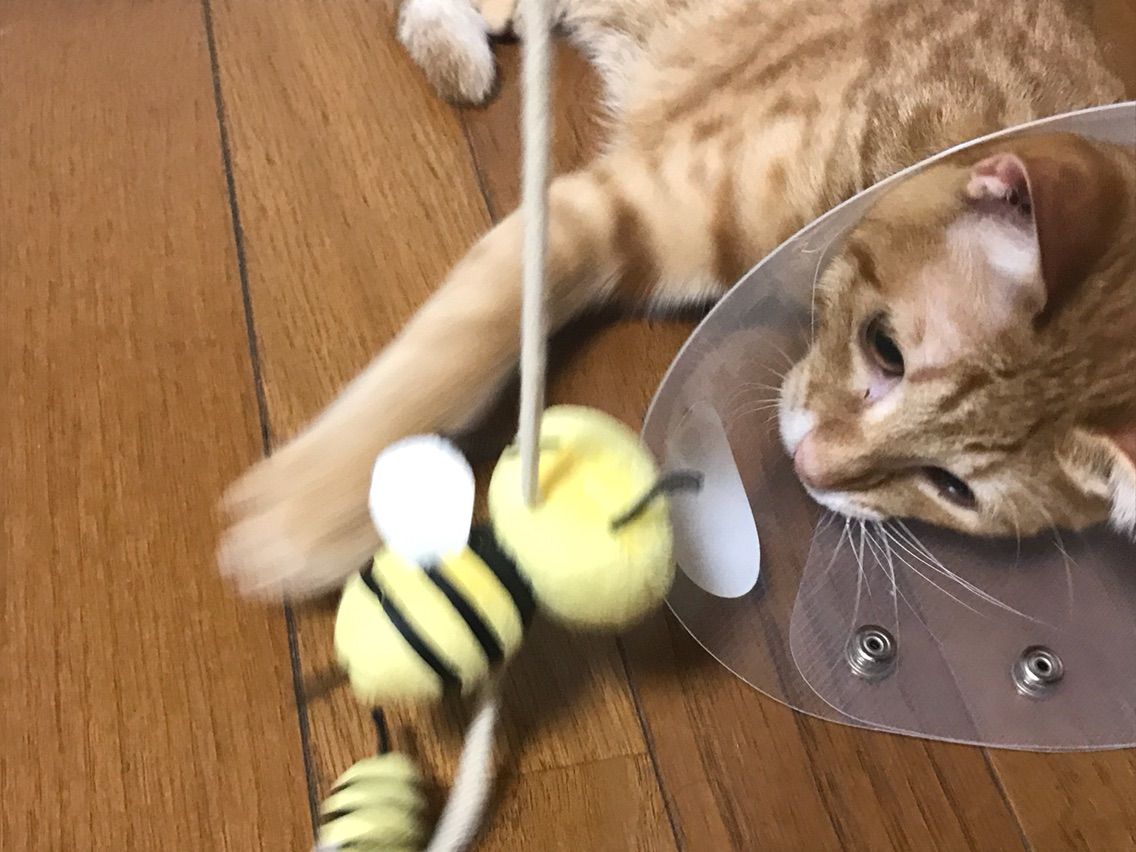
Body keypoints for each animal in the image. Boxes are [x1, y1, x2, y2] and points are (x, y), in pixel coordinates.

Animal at [219, 0, 1132, 598]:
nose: (811, 468)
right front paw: (315, 513)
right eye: (886, 350)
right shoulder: (608, 210)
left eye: (952, 490)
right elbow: (459, 343)